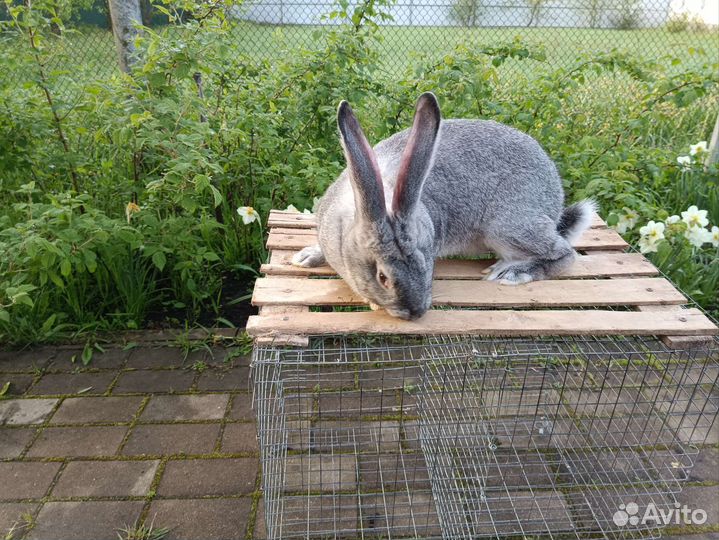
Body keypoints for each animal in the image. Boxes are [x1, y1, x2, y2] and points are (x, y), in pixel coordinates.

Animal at [292, 92, 596, 321]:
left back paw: (513, 272)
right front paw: (305, 257)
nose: (416, 312)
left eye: (428, 262)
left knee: (564, 254)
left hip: (506, 226)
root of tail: (555, 198)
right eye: (382, 277)